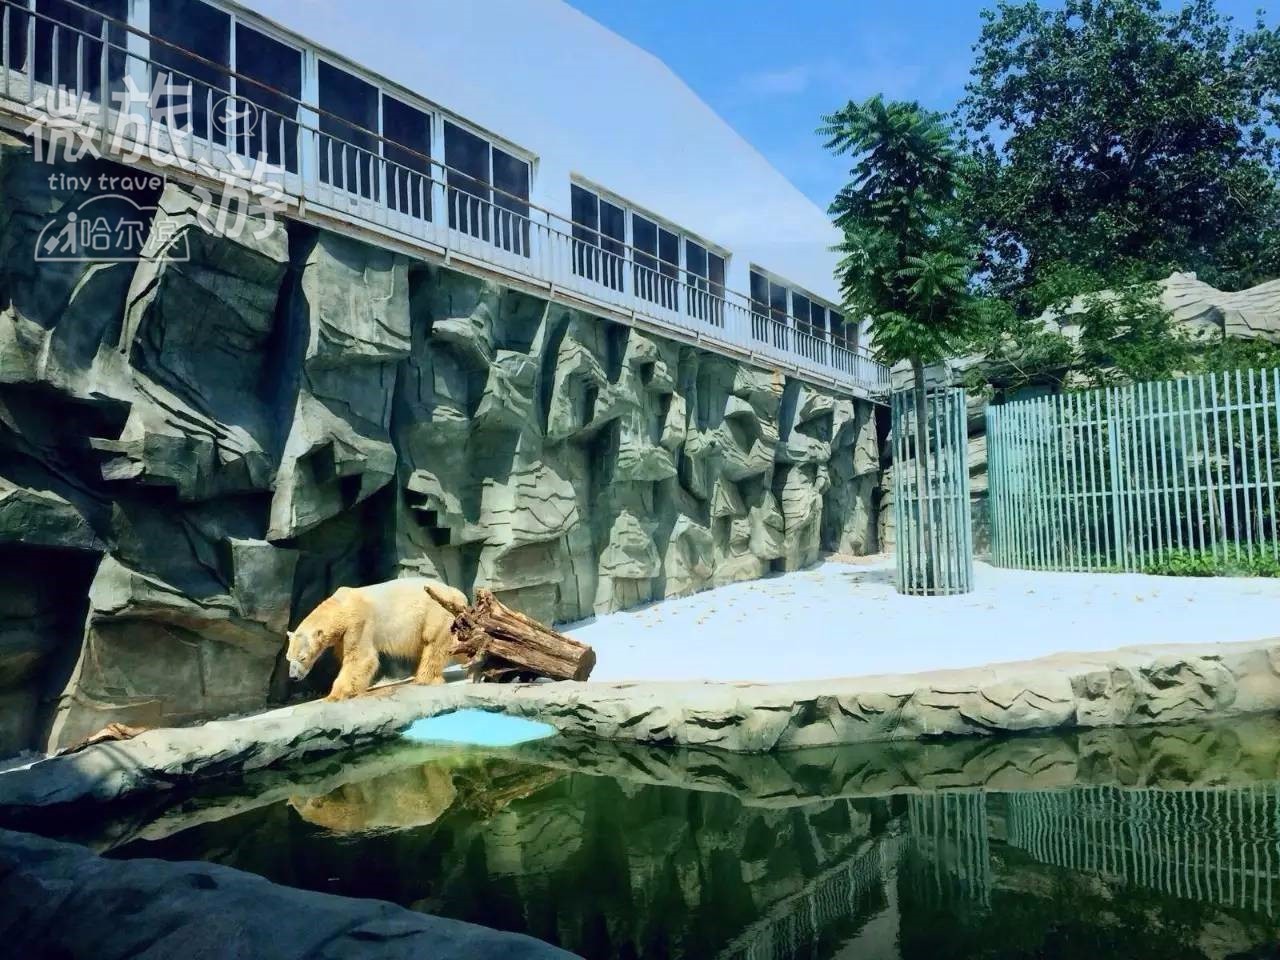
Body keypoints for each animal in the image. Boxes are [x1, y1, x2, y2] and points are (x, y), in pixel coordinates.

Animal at [285, 576, 471, 701]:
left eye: (302, 657)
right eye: (288, 658)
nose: (293, 677)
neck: (341, 606)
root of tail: (458, 594)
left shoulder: (358, 622)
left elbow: (360, 657)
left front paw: (335, 695)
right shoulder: (343, 634)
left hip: (436, 613)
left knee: (434, 644)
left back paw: (424, 679)